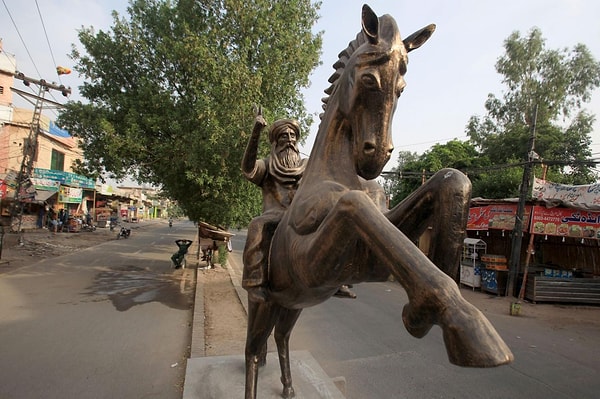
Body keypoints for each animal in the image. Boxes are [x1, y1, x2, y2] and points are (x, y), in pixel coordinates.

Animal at [243, 4, 510, 398]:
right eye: (369, 80)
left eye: (401, 87)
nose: (376, 156)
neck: (339, 174)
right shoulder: (318, 255)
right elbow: (355, 204)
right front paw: (461, 322)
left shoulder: (373, 263)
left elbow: (453, 181)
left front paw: (425, 307)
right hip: (264, 302)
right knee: (252, 349)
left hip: (293, 303)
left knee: (279, 338)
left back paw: (290, 387)